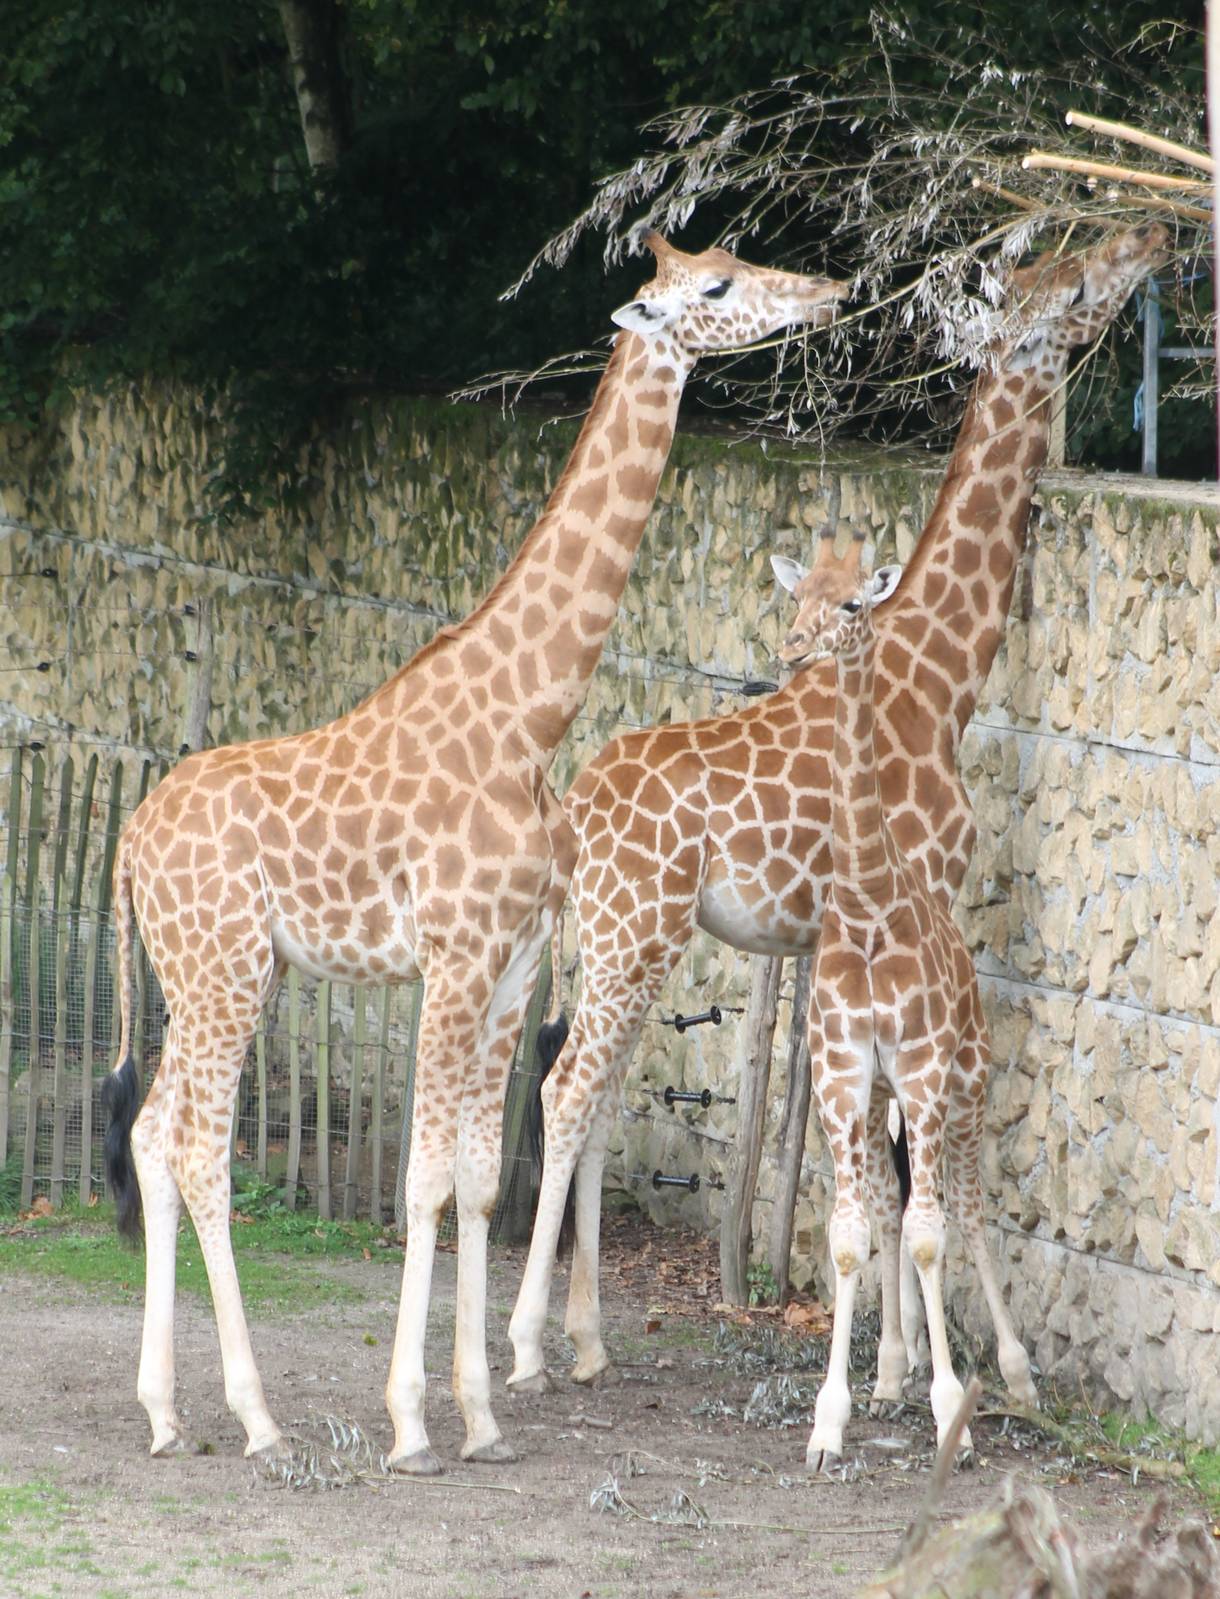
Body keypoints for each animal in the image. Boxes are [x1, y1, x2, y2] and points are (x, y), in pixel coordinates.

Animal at [99, 233, 844, 1475]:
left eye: (732, 260)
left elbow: (480, 1182)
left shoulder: (510, 962)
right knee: (197, 1147)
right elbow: (421, 1183)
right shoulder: (449, 960)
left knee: (156, 1136)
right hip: (225, 970)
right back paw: (255, 1417)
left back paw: (164, 1413)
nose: (828, 295)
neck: (528, 716)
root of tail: (126, 845)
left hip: (219, 972)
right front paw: (412, 1421)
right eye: (715, 287)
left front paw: (484, 1411)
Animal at [772, 527, 1035, 1469]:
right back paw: (892, 1371)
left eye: (853, 602)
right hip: (892, 1096)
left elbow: (931, 1229)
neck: (868, 897)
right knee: (896, 1204)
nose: (792, 647)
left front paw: (950, 1407)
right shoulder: (846, 1074)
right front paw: (830, 1422)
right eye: (799, 593)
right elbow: (852, 1237)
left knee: (967, 1208)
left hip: (966, 1086)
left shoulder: (921, 1072)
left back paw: (1016, 1374)